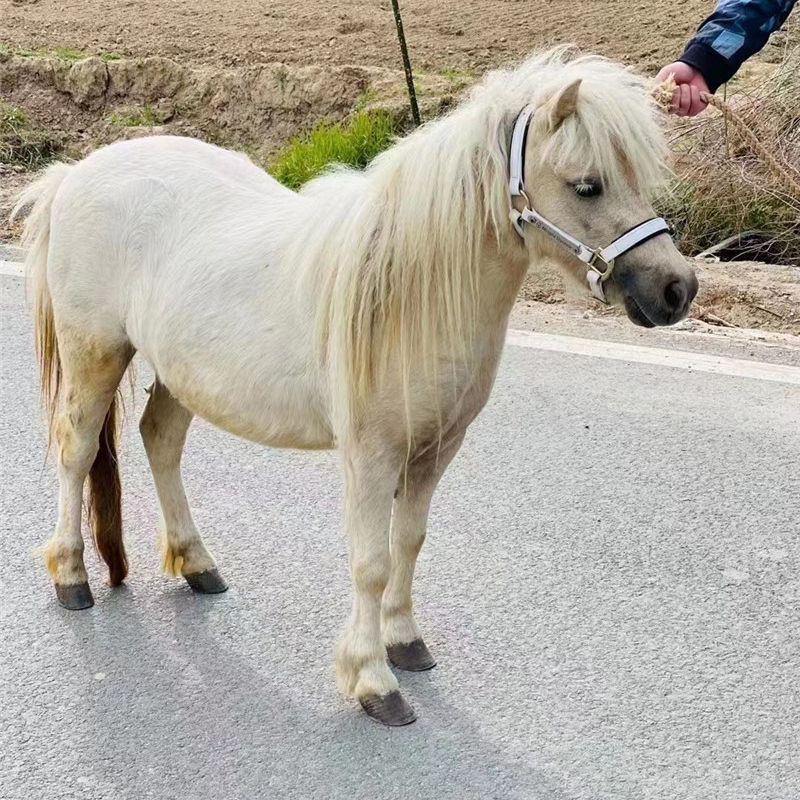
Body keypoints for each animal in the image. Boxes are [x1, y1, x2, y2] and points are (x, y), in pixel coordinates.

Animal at [17, 48, 692, 724]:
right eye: (588, 184)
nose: (676, 289)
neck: (410, 290)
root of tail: (76, 174)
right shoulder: (372, 454)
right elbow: (371, 562)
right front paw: (373, 681)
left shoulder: (434, 450)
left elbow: (408, 543)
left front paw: (405, 642)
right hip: (96, 354)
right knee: (77, 452)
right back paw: (71, 576)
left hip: (182, 375)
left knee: (159, 440)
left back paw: (197, 563)